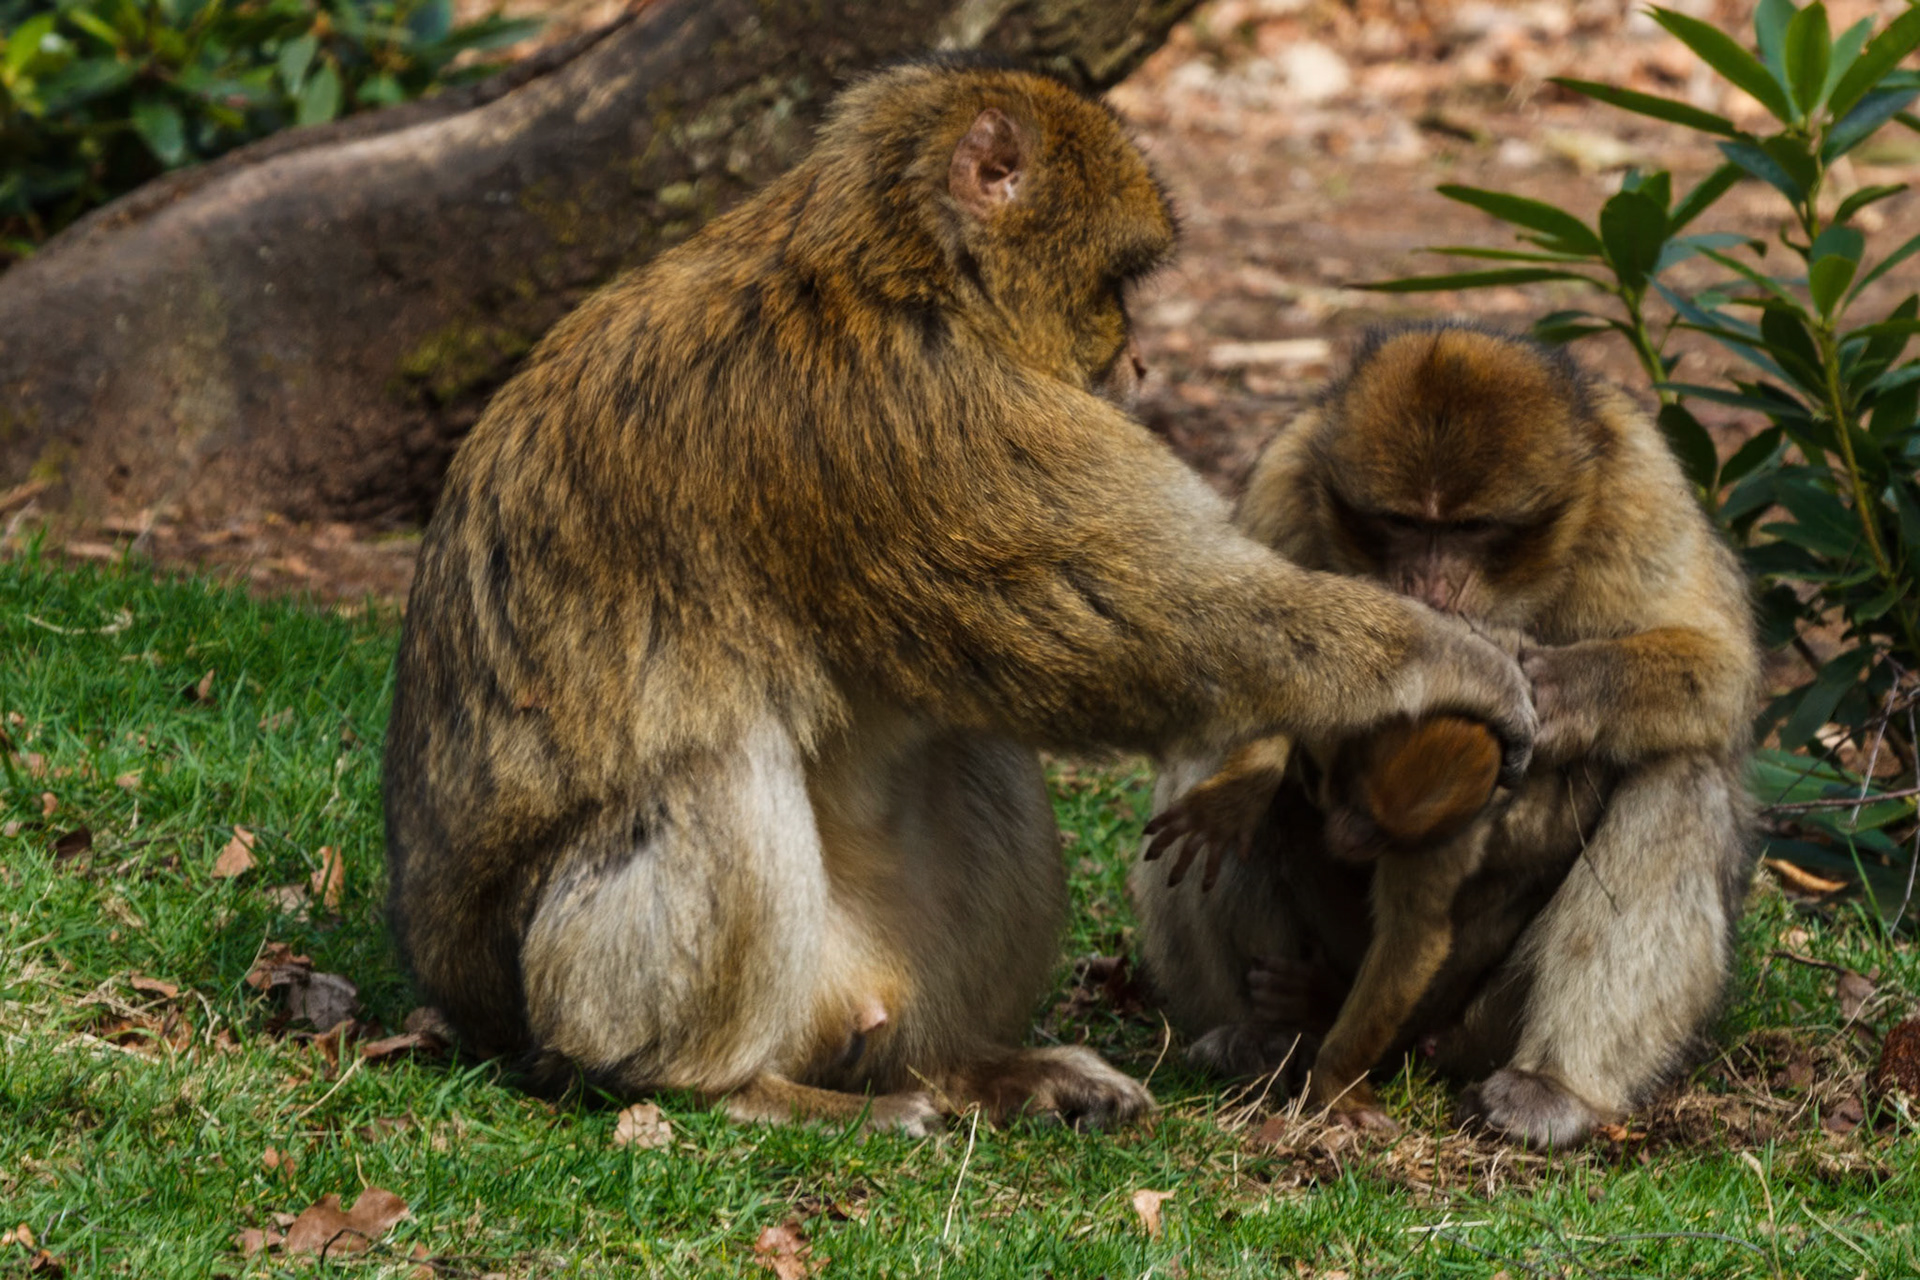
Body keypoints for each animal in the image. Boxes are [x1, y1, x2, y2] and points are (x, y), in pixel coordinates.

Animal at [382, 64, 1538, 1138]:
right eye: (1118, 281)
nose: (1139, 358)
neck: (889, 276)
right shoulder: (910, 420)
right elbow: (1144, 618)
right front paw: (1451, 658)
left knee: (969, 747)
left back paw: (967, 1067)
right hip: (568, 995)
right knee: (716, 762)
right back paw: (724, 1087)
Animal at [1131, 322, 1760, 1145]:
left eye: (1470, 529)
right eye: (1403, 523)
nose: (1429, 585)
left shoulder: (1639, 492)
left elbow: (1722, 668)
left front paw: (1549, 688)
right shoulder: (1283, 484)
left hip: (1474, 1018)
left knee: (1678, 771)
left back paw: (1551, 1087)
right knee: (1213, 774)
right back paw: (1265, 1034)